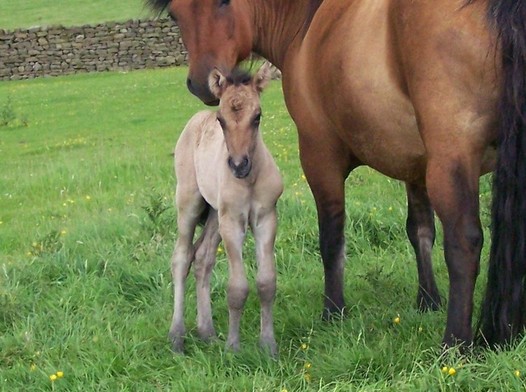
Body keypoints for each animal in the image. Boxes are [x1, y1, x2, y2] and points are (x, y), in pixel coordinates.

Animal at [169, 63, 284, 356]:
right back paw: (177, 337)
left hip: (214, 214)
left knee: (202, 258)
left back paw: (207, 332)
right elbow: (237, 288)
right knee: (181, 257)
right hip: (189, 202)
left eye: (257, 116)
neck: (250, 180)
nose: (238, 165)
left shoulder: (266, 218)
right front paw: (233, 348)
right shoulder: (232, 221)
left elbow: (266, 282)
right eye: (221, 120)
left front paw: (268, 346)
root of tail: (196, 118)